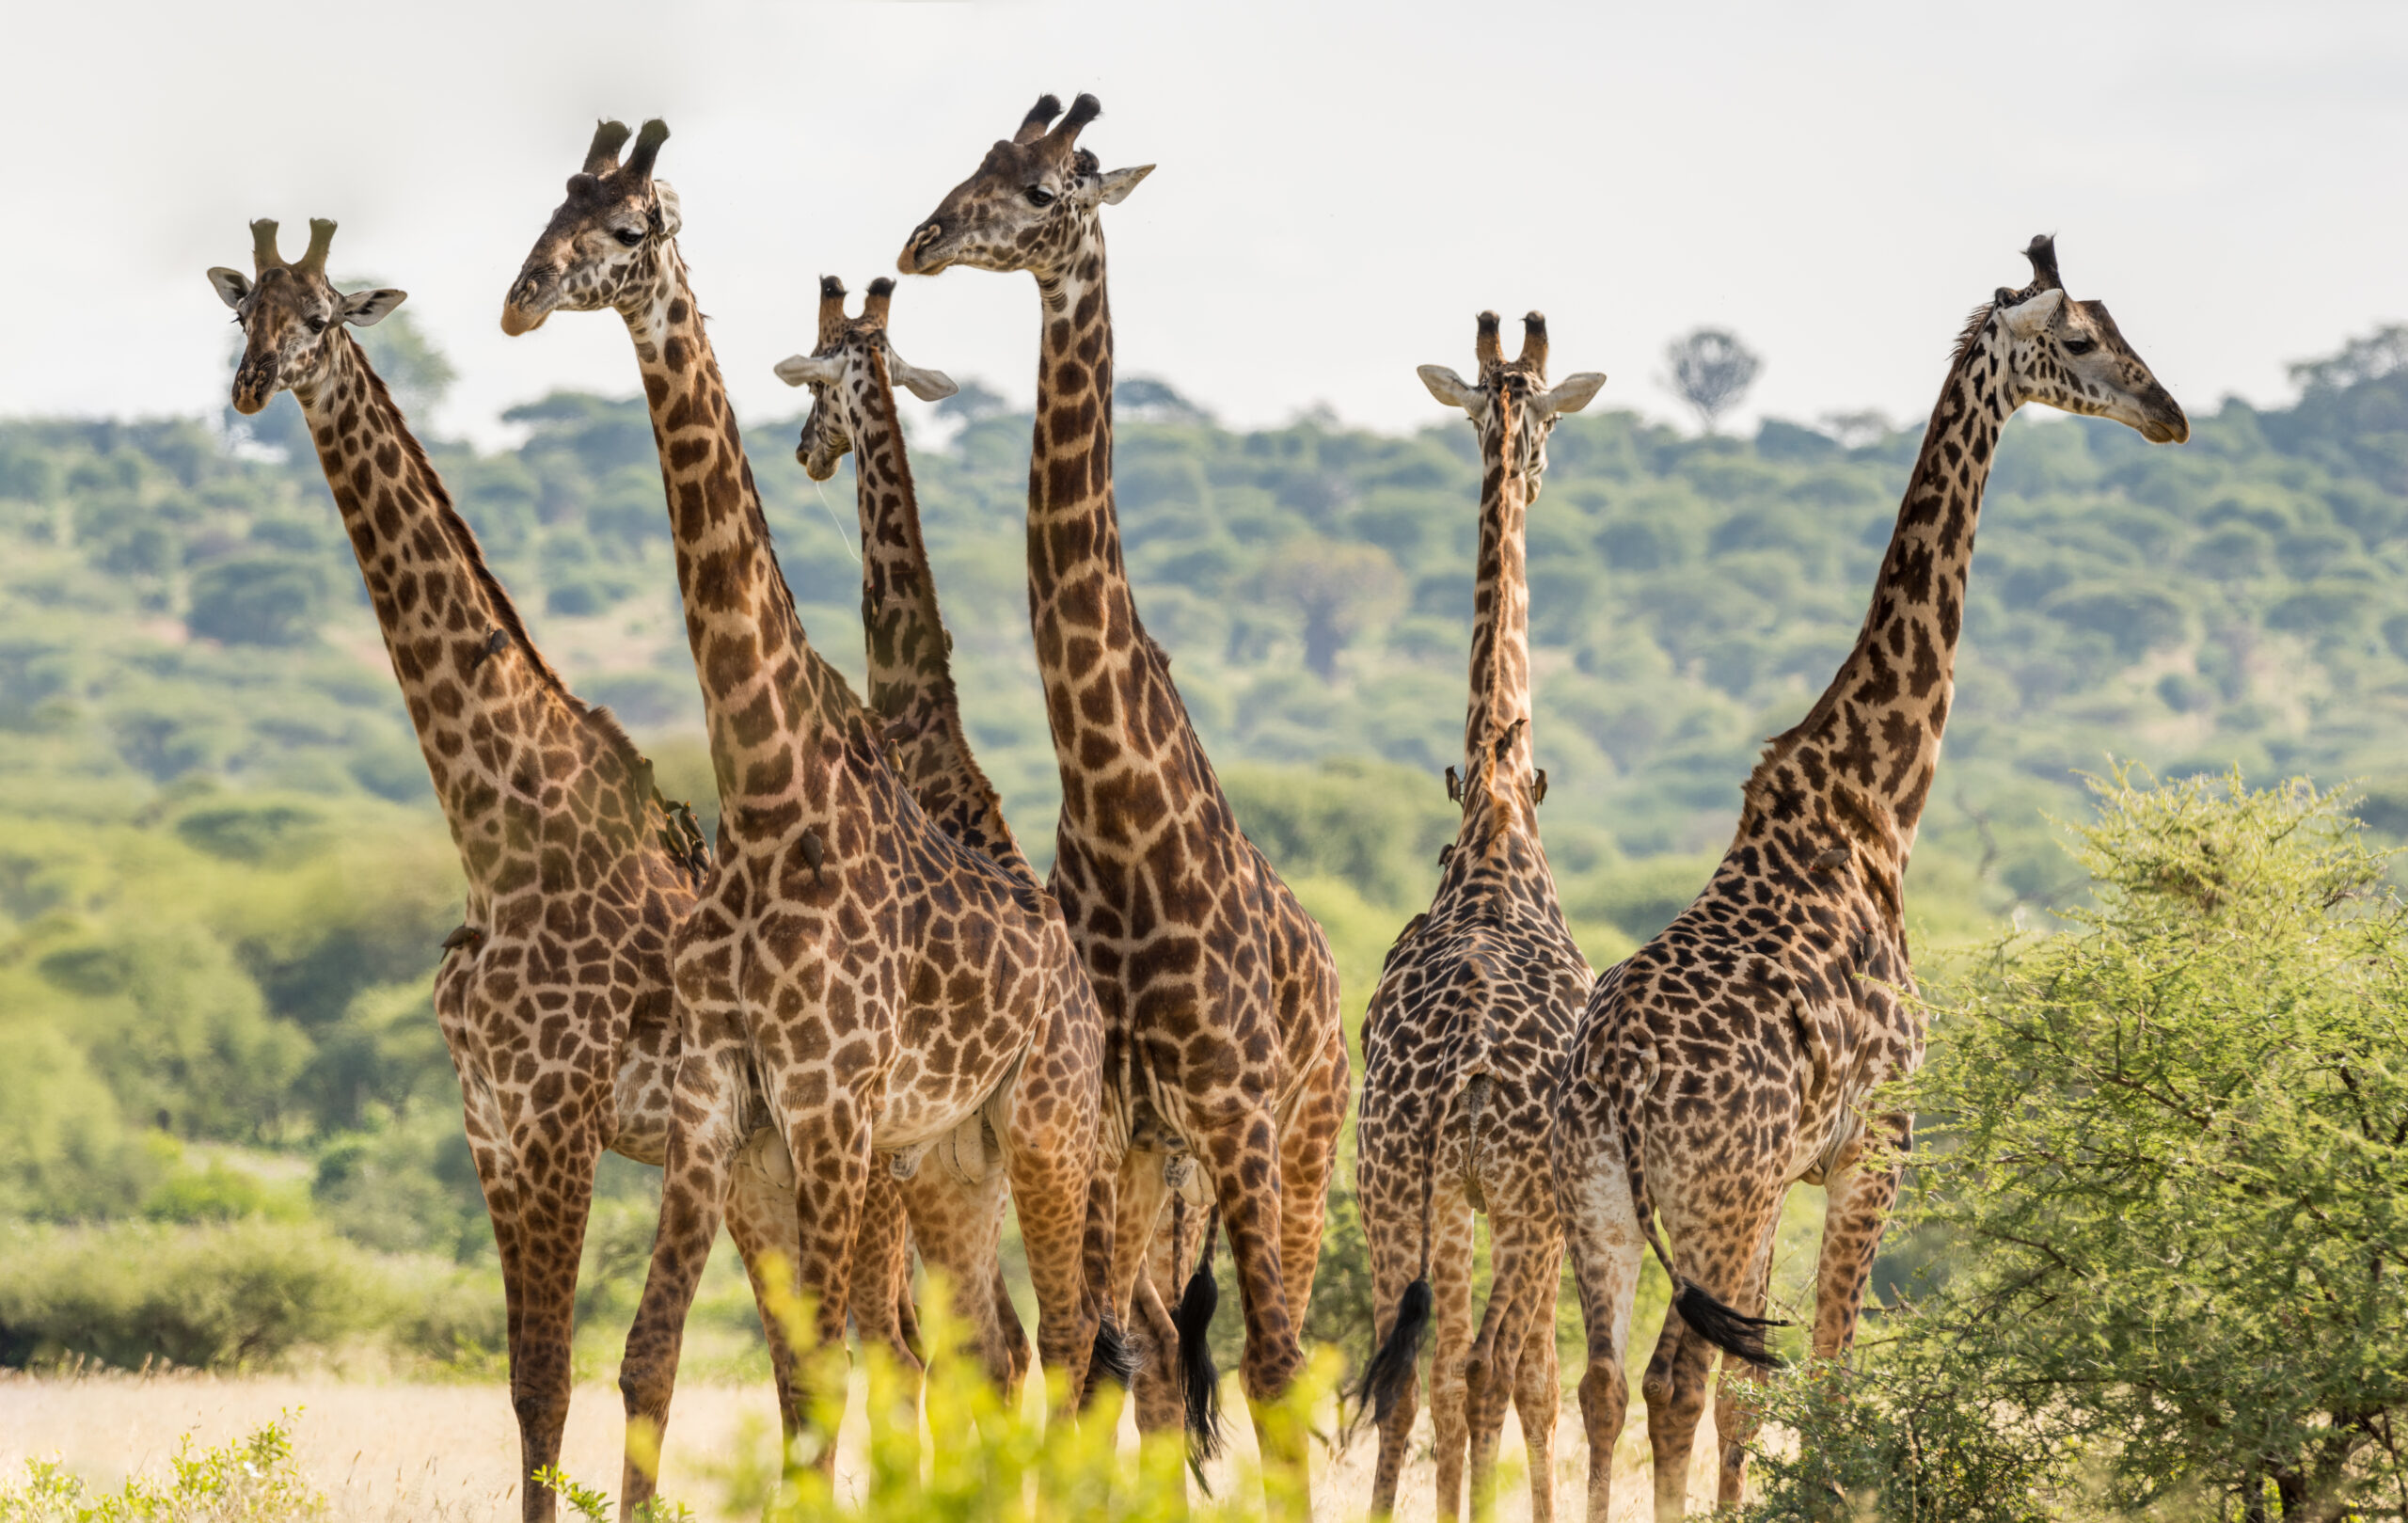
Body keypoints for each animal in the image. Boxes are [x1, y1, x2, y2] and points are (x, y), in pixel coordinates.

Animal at [204, 216, 866, 1523]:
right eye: (245, 310)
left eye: (324, 317)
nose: (252, 385)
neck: (500, 839)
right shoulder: (491, 1122)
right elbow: (528, 1380)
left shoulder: (563, 1113)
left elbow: (597, 1367)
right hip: (760, 1171)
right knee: (809, 1359)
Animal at [503, 119, 1112, 1513]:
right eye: (552, 206)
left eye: (628, 229)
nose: (518, 300)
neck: (772, 795)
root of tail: (1077, 976)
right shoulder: (719, 1113)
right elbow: (660, 1355)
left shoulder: (833, 1109)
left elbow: (831, 1370)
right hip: (954, 1154)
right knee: (1000, 1349)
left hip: (1045, 1129)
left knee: (1068, 1343)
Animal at [900, 88, 1357, 1484]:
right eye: (980, 162)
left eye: (1051, 191)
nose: (923, 241)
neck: (1116, 808)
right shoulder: (1108, 1117)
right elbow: (1102, 1358)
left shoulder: (1238, 1111)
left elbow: (1268, 1366)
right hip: (1163, 1164)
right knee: (1150, 1346)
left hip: (1301, 1138)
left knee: (1277, 1350)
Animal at [1550, 232, 2195, 1513]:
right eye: (2082, 339)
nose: (2170, 413)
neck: (1876, 805)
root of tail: (1615, 1083)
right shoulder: (1874, 1145)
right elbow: (1825, 1380)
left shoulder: (1803, 1169)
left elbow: (1760, 1393)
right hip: (1717, 1193)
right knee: (1678, 1377)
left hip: (1603, 1201)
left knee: (1602, 1380)